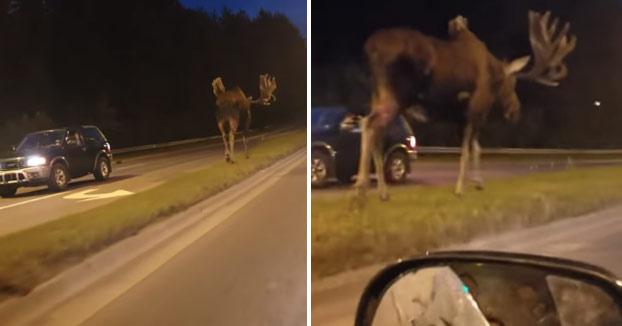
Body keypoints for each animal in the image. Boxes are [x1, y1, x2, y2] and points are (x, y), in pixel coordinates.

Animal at [356, 11, 580, 200]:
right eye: (512, 83)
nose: (515, 111)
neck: (493, 73)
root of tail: (369, 47)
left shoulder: (461, 115)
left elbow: (475, 148)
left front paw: (478, 183)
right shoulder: (476, 107)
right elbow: (466, 150)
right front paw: (460, 189)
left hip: (378, 94)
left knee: (373, 128)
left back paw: (380, 191)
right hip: (397, 95)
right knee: (369, 124)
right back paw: (361, 190)